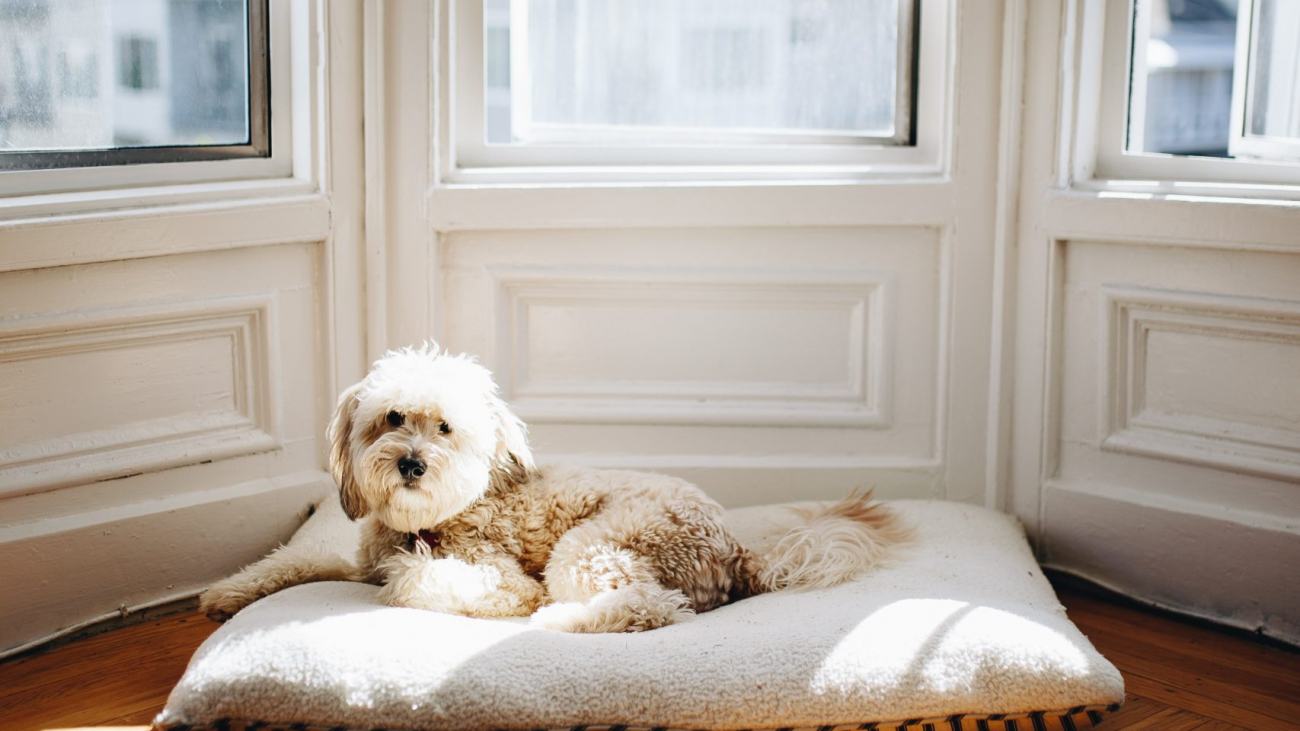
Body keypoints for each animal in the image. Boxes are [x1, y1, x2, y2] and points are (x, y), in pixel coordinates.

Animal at [202, 343, 909, 629]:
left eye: (445, 428)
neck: (428, 522)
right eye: (392, 418)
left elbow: (414, 580)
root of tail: (735, 549)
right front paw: (227, 592)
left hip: (592, 547)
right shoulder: (355, 560)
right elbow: (295, 561)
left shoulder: (498, 577)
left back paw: (561, 620)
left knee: (649, 607)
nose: (411, 463)